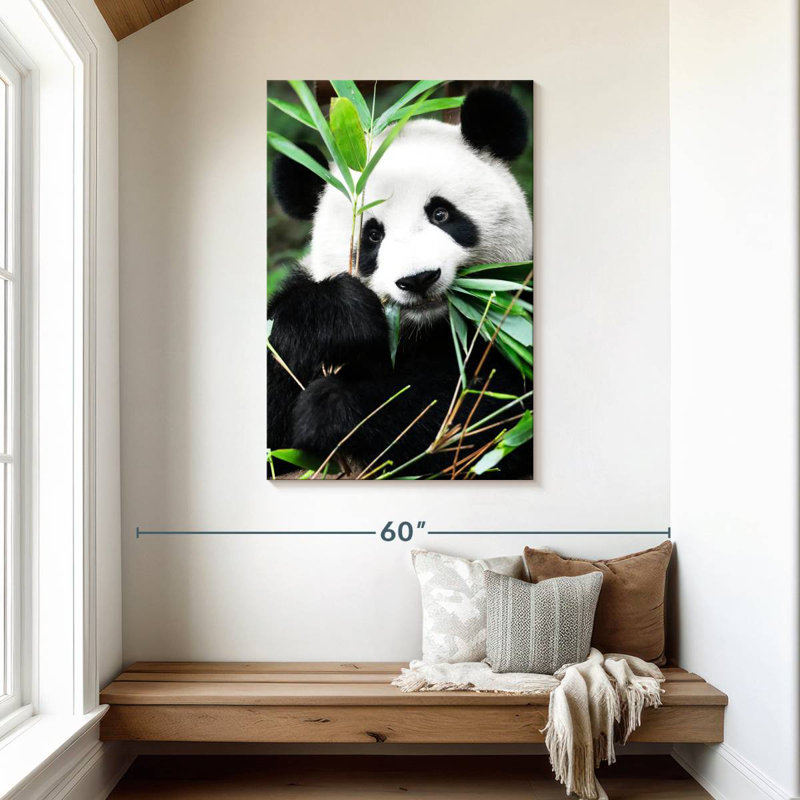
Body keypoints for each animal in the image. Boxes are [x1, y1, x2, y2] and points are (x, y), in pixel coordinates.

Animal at [268, 87, 533, 478]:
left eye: (441, 213)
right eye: (372, 235)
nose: (418, 279)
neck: (424, 330)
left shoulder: (514, 314)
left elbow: (486, 412)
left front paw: (333, 408)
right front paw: (340, 315)